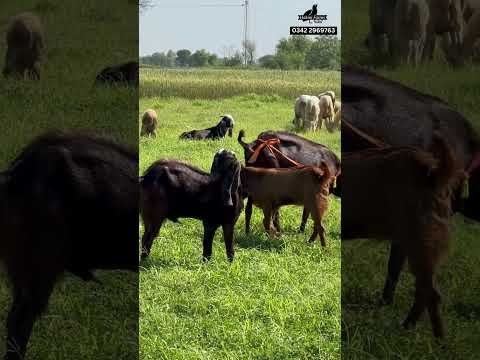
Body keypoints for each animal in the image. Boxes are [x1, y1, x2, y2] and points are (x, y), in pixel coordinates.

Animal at [344, 134, 466, 338]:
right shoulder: (399, 241)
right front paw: (384, 305)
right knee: (423, 291)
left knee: (430, 293)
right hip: (415, 244)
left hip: (420, 245)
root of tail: (435, 173)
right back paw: (409, 327)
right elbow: (392, 273)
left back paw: (431, 336)